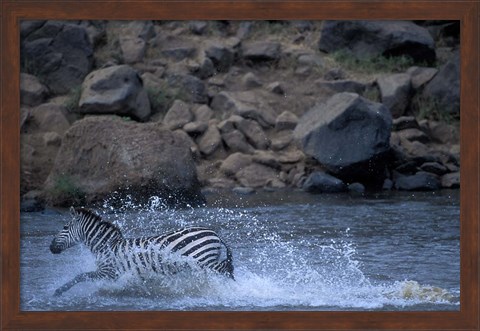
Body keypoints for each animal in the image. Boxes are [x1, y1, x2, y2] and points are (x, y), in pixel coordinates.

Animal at [49, 206, 234, 296]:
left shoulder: (108, 272)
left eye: (65, 227)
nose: (51, 248)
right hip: (207, 260)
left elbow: (81, 276)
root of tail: (215, 233)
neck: (106, 245)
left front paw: (59, 291)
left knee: (225, 271)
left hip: (203, 260)